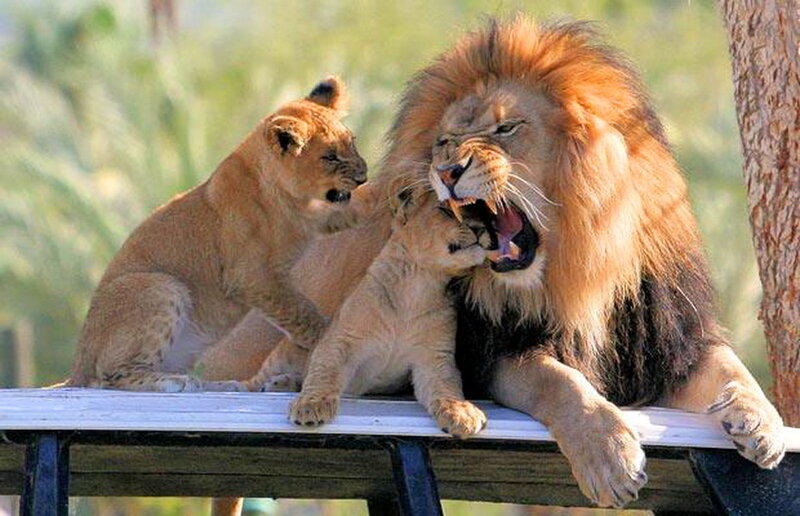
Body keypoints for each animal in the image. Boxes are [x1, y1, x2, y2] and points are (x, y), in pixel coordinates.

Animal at [67, 76, 368, 393]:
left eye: (353, 142)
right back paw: (179, 382)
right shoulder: (250, 276)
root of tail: (77, 365)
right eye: (330, 157)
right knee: (108, 377)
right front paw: (329, 337)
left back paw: (224, 385)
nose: (363, 177)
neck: (293, 199)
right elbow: (300, 312)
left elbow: (353, 209)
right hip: (159, 286)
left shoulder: (318, 218)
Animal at [206, 17, 786, 510]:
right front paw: (610, 457)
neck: (576, 269)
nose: (447, 169)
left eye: (506, 129)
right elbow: (560, 383)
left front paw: (763, 423)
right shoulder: (489, 354)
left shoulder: (669, 341)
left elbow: (731, 368)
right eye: (444, 140)